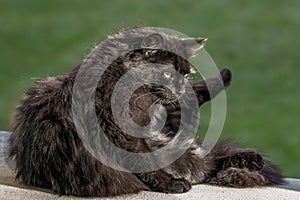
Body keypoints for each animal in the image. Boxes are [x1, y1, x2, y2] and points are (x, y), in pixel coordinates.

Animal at [7, 28, 284, 197]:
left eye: (186, 74)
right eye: (168, 74)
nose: (181, 88)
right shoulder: (123, 136)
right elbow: (148, 165)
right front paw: (172, 184)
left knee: (206, 156)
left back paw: (250, 159)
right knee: (202, 161)